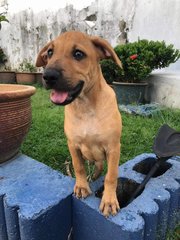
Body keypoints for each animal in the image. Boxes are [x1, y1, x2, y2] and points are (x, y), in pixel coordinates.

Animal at [35, 31, 122, 217]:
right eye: (50, 52)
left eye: (78, 54)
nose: (48, 76)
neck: (85, 106)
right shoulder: (73, 145)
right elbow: (79, 166)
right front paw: (82, 186)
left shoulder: (113, 147)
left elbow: (111, 176)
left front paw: (109, 200)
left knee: (101, 167)